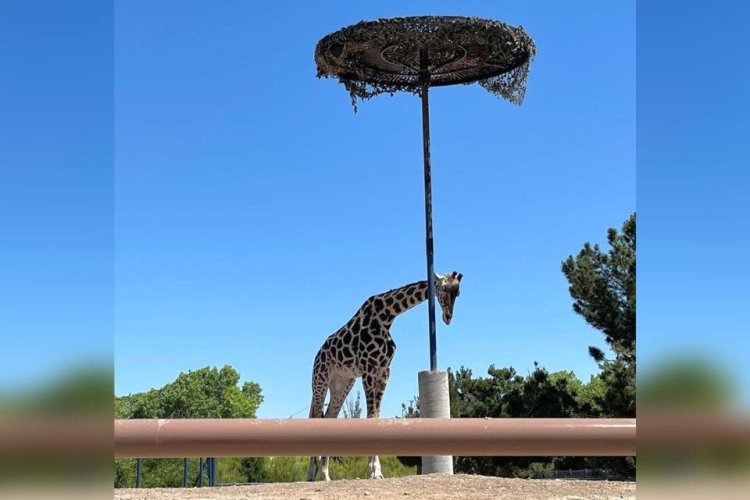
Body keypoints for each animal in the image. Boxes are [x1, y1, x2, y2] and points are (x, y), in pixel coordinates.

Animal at [306, 272, 464, 482]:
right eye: (444, 288)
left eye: (458, 293)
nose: (447, 318)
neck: (386, 316)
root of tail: (318, 353)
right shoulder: (368, 369)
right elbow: (371, 417)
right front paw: (373, 471)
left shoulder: (384, 371)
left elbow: (376, 417)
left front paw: (377, 471)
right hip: (320, 379)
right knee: (316, 416)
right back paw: (310, 474)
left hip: (342, 383)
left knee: (329, 418)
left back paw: (324, 475)